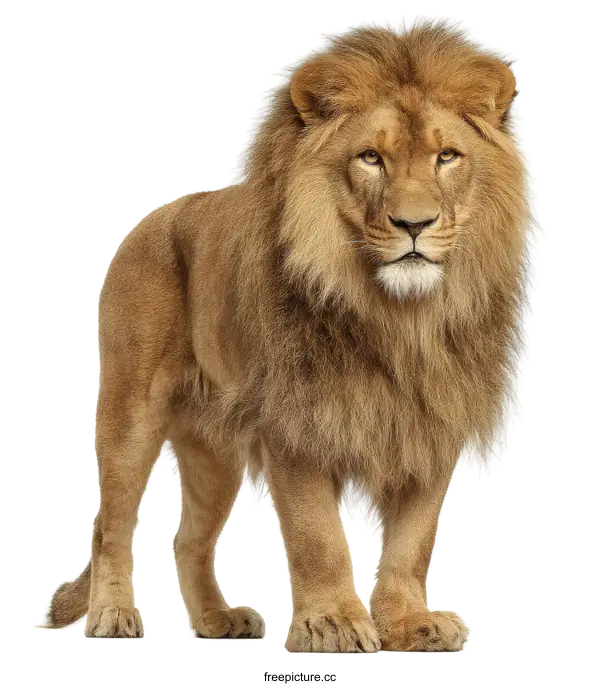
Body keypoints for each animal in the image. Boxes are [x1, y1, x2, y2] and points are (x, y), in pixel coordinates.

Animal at [36, 16, 542, 653]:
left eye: (447, 156)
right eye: (370, 158)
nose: (415, 224)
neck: (399, 317)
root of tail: (153, 217)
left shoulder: (428, 421)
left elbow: (413, 539)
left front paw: (407, 623)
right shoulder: (298, 420)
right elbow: (316, 533)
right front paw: (333, 624)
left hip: (215, 449)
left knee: (188, 538)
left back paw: (217, 622)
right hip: (130, 408)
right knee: (109, 523)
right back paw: (113, 615)